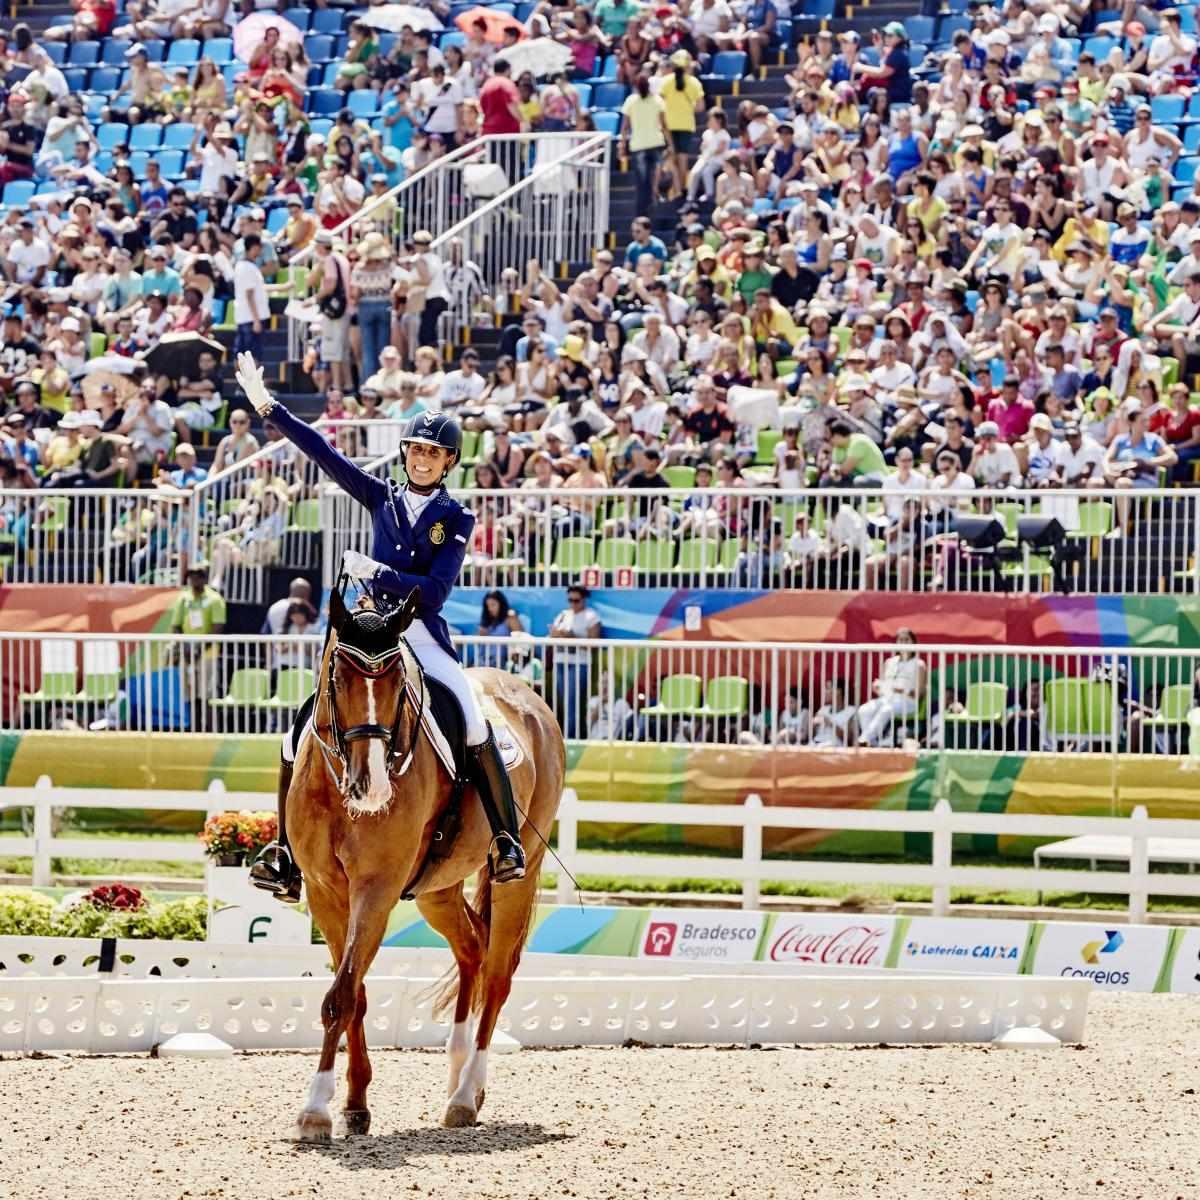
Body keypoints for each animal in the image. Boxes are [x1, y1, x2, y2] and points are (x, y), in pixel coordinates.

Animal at [294, 595, 566, 1137]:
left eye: (399, 683)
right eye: (339, 677)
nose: (371, 788)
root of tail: (529, 696)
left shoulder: (375, 889)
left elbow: (342, 994)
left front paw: (316, 1109)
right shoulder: (323, 890)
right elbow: (354, 992)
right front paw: (355, 1103)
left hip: (520, 869)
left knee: (497, 973)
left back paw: (464, 1095)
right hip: (436, 890)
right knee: (473, 949)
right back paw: (463, 1077)